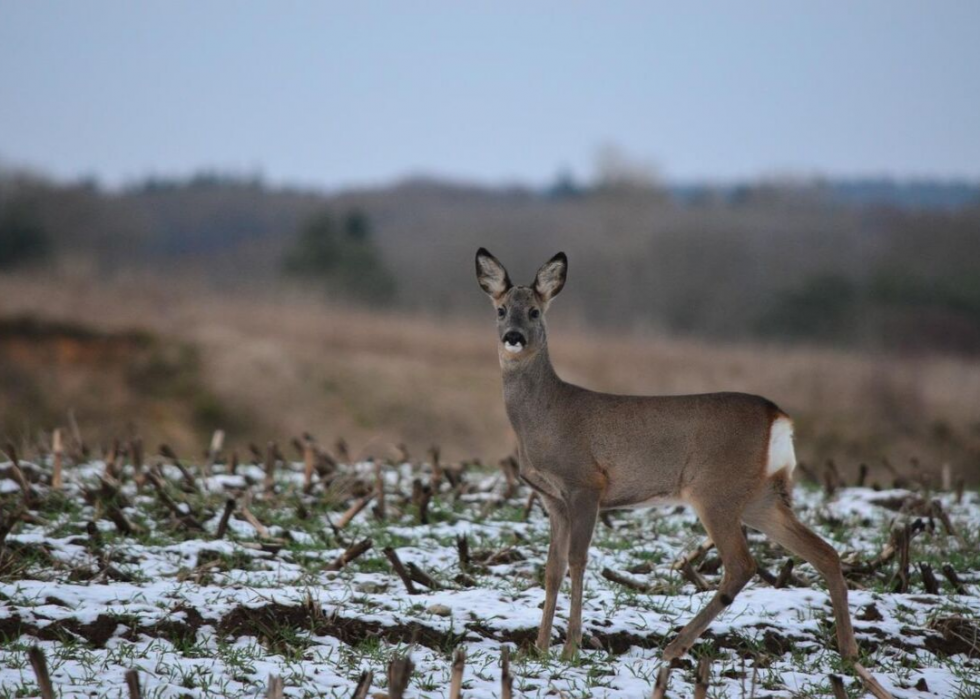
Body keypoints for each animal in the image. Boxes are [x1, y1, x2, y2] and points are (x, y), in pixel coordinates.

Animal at [474, 247, 864, 668]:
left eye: (534, 311)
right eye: (500, 310)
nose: (513, 337)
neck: (546, 417)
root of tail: (778, 417)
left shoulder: (586, 484)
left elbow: (578, 560)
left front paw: (570, 648)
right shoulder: (552, 498)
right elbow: (552, 568)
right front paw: (540, 647)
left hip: (716, 490)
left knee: (742, 564)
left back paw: (675, 647)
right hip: (760, 496)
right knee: (825, 552)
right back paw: (849, 652)